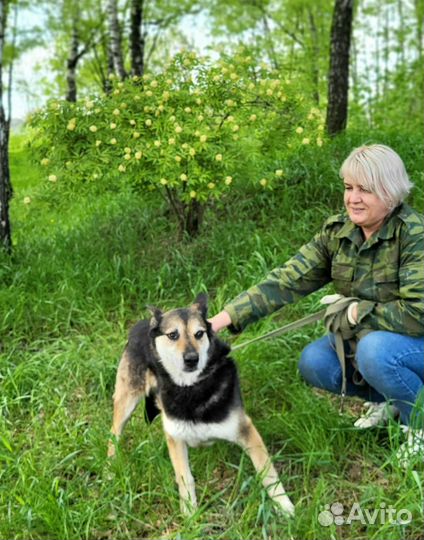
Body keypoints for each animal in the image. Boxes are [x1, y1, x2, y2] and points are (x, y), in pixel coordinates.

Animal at [108, 294, 294, 516]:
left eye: (199, 334)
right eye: (173, 335)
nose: (191, 359)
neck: (190, 388)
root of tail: (142, 323)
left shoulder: (245, 429)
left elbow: (267, 472)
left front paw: (284, 505)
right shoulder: (174, 436)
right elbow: (184, 477)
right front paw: (190, 513)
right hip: (127, 399)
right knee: (114, 431)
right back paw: (111, 464)